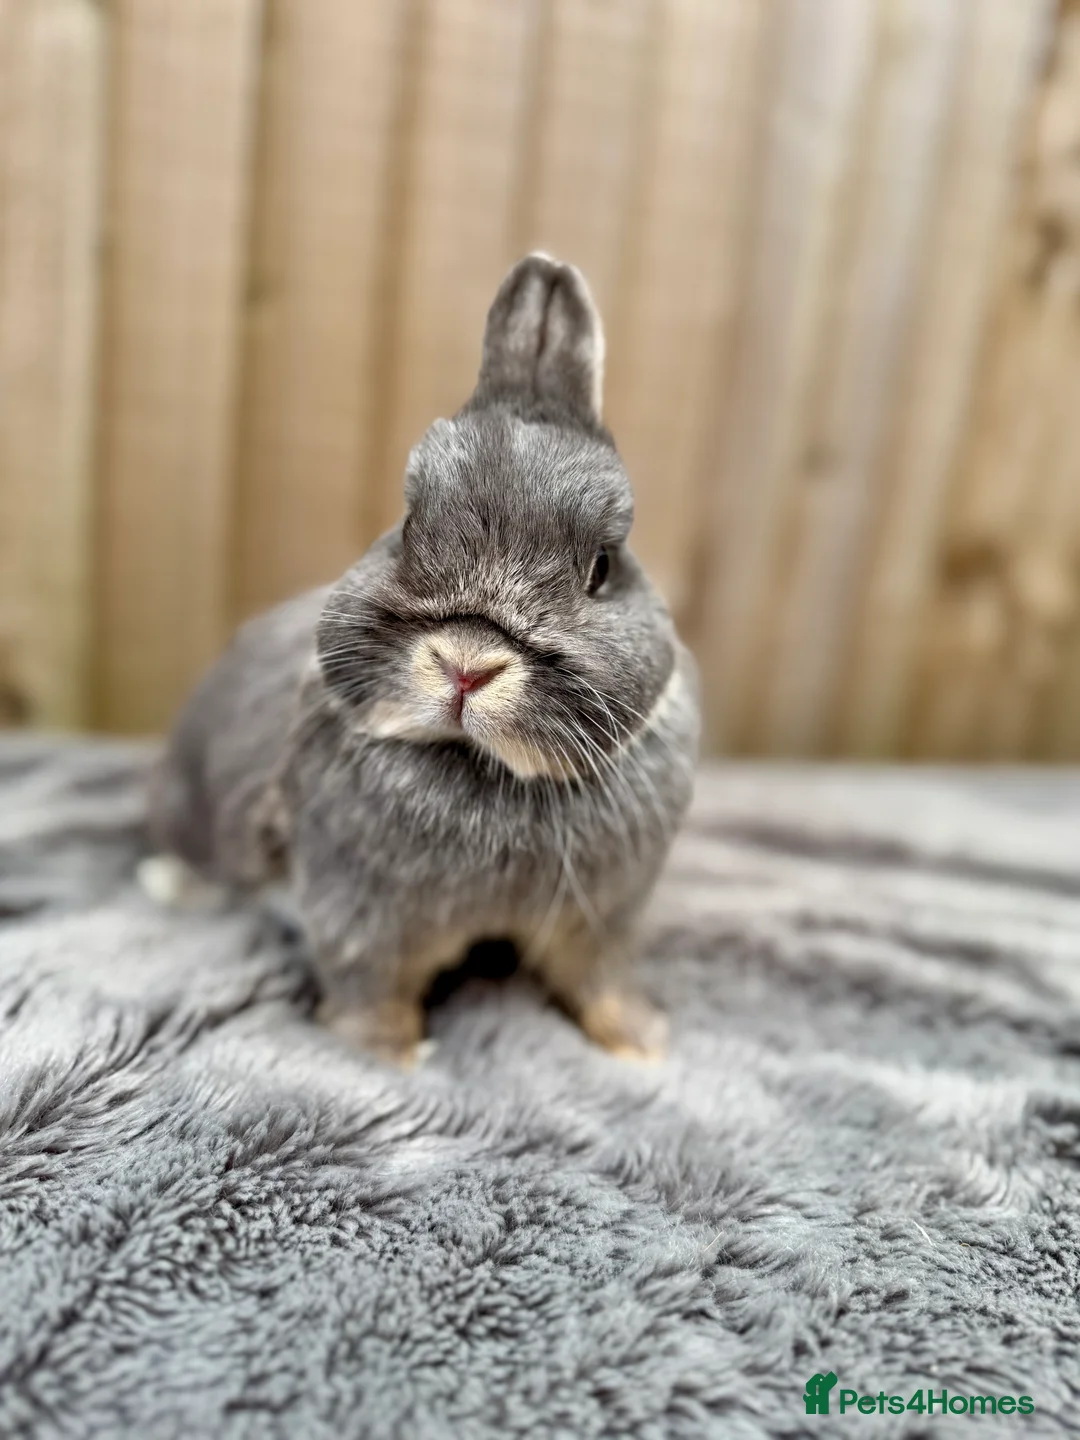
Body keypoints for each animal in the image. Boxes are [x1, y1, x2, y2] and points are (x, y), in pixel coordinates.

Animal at [146, 253, 700, 1065]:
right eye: (408, 528)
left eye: (601, 568)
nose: (467, 669)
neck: (487, 771)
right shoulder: (361, 919)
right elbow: (372, 988)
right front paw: (385, 1058)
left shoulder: (604, 917)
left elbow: (599, 980)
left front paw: (641, 1043)